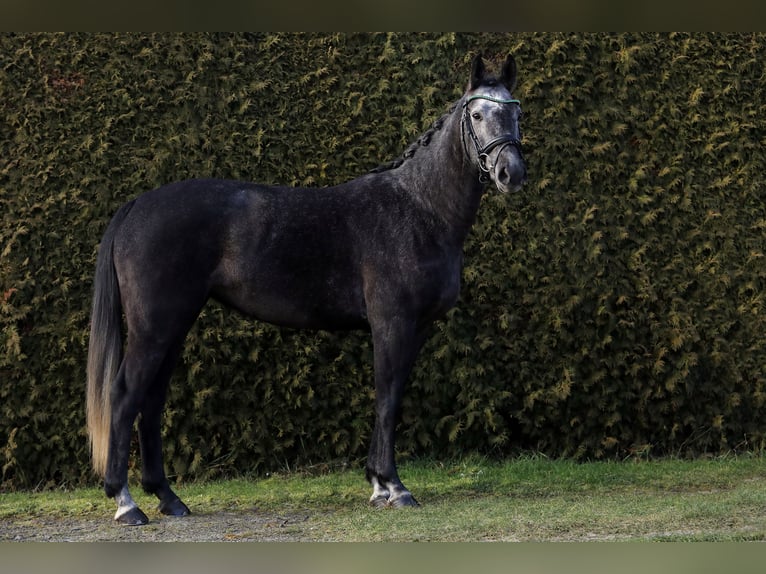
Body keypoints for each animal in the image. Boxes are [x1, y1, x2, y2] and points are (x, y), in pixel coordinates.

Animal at [85, 54, 528, 528]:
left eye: (516, 112)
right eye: (476, 114)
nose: (510, 172)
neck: (418, 208)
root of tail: (137, 205)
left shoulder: (417, 327)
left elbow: (389, 396)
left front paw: (377, 485)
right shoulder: (393, 323)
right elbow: (388, 397)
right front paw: (393, 486)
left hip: (174, 325)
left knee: (151, 401)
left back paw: (168, 498)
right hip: (155, 327)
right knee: (124, 395)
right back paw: (126, 502)